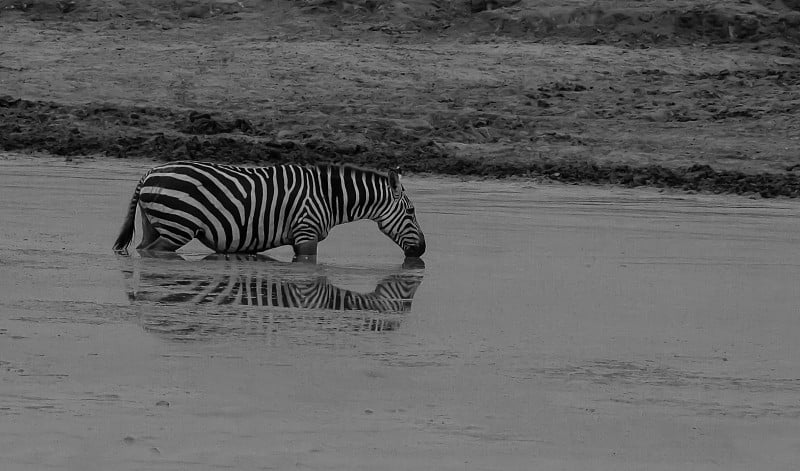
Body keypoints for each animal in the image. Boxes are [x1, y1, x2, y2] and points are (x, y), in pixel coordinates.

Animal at [112, 161, 428, 258]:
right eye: (411, 212)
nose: (422, 250)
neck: (329, 197)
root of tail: (150, 172)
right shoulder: (306, 234)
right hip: (177, 227)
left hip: (155, 224)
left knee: (143, 248)